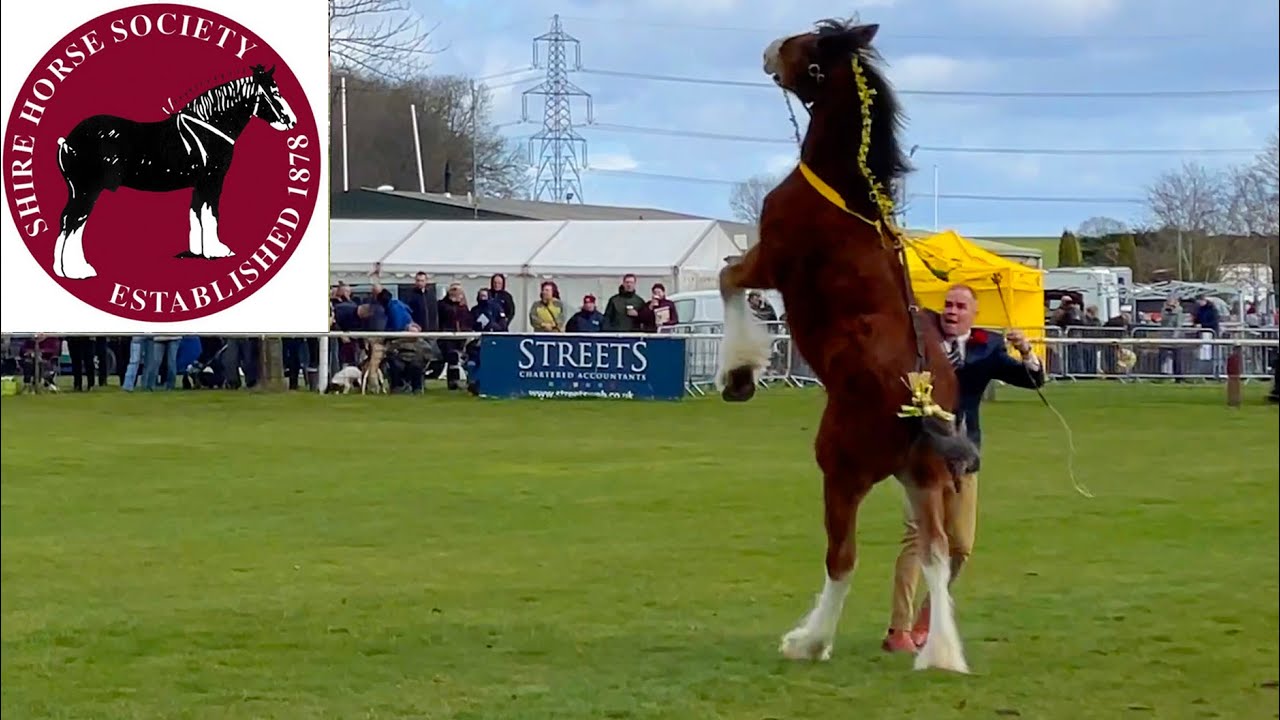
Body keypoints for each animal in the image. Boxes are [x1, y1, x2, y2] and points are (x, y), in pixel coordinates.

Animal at [52, 63, 298, 279]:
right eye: (275, 92)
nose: (292, 121)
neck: (209, 127)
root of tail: (68, 141)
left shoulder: (200, 184)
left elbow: (197, 213)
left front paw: (199, 251)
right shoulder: (212, 180)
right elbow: (211, 214)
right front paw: (217, 250)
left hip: (78, 191)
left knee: (66, 223)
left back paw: (62, 269)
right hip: (87, 191)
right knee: (74, 223)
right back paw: (78, 270)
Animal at [714, 18, 980, 673]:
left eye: (808, 43)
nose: (767, 51)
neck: (842, 187)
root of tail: (920, 401)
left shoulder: (769, 260)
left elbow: (728, 279)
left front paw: (739, 374)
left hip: (842, 470)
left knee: (844, 558)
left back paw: (809, 641)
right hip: (923, 480)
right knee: (935, 553)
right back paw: (938, 653)